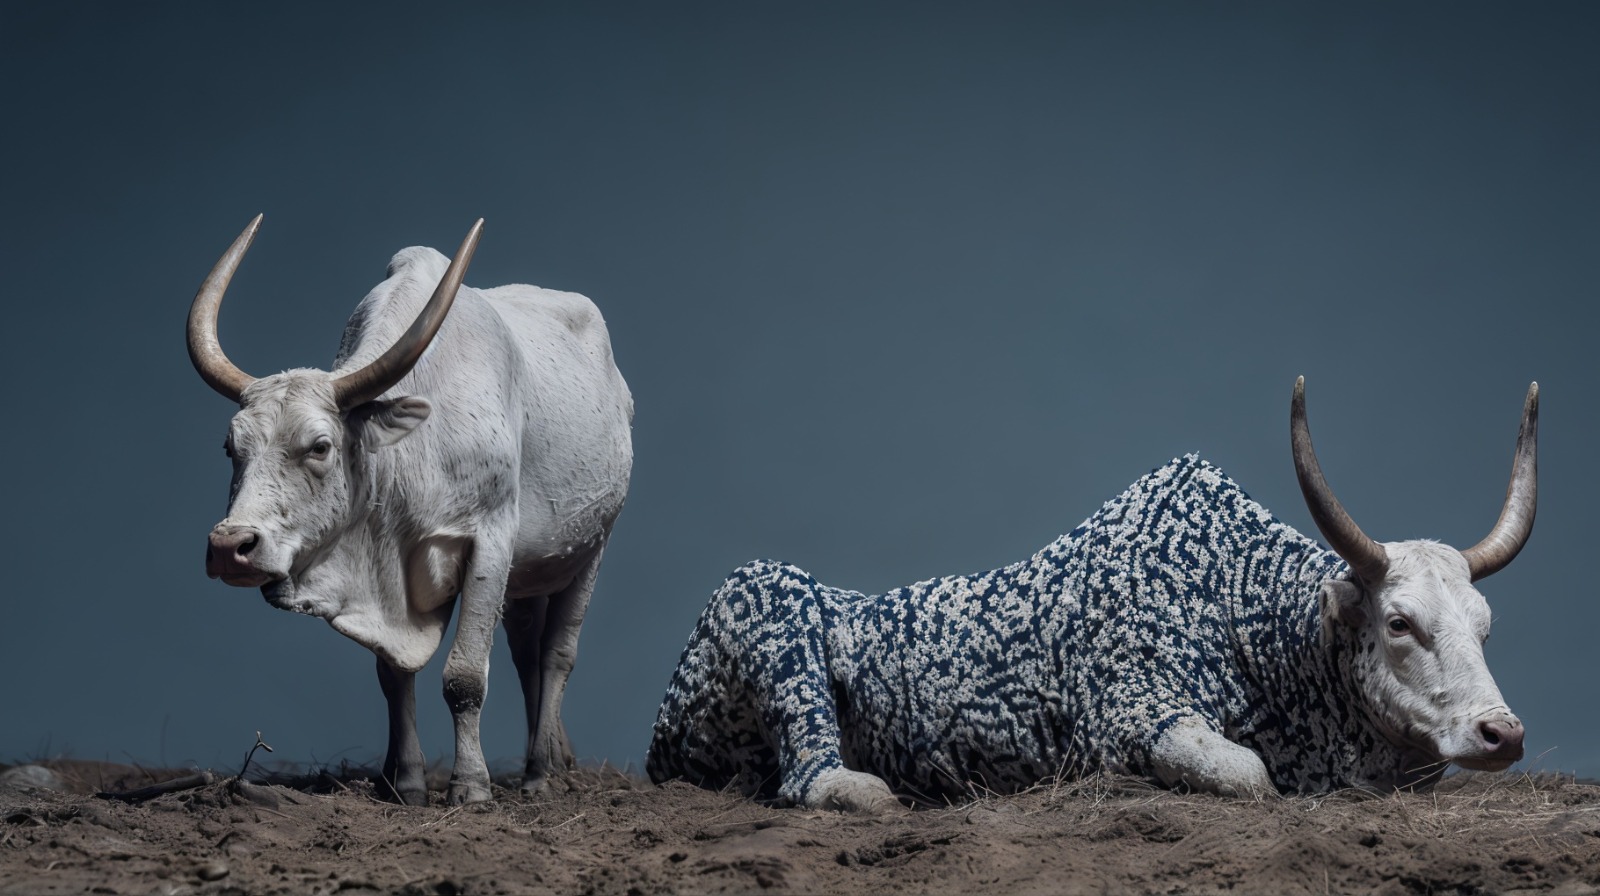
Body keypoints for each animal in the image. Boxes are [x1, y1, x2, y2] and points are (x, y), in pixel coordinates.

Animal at [187, 217, 634, 805]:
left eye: (320, 446)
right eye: (229, 446)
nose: (230, 547)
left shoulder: (490, 542)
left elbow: (465, 677)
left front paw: (471, 785)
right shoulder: (387, 581)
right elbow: (395, 677)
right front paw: (409, 781)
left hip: (591, 547)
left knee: (557, 653)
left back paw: (540, 773)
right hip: (531, 569)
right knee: (527, 654)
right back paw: (555, 758)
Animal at [647, 379, 1536, 810]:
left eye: (1485, 628)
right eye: (1400, 623)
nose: (1502, 733)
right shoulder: (1132, 716)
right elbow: (1245, 775)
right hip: (765, 594)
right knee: (806, 776)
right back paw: (860, 788)